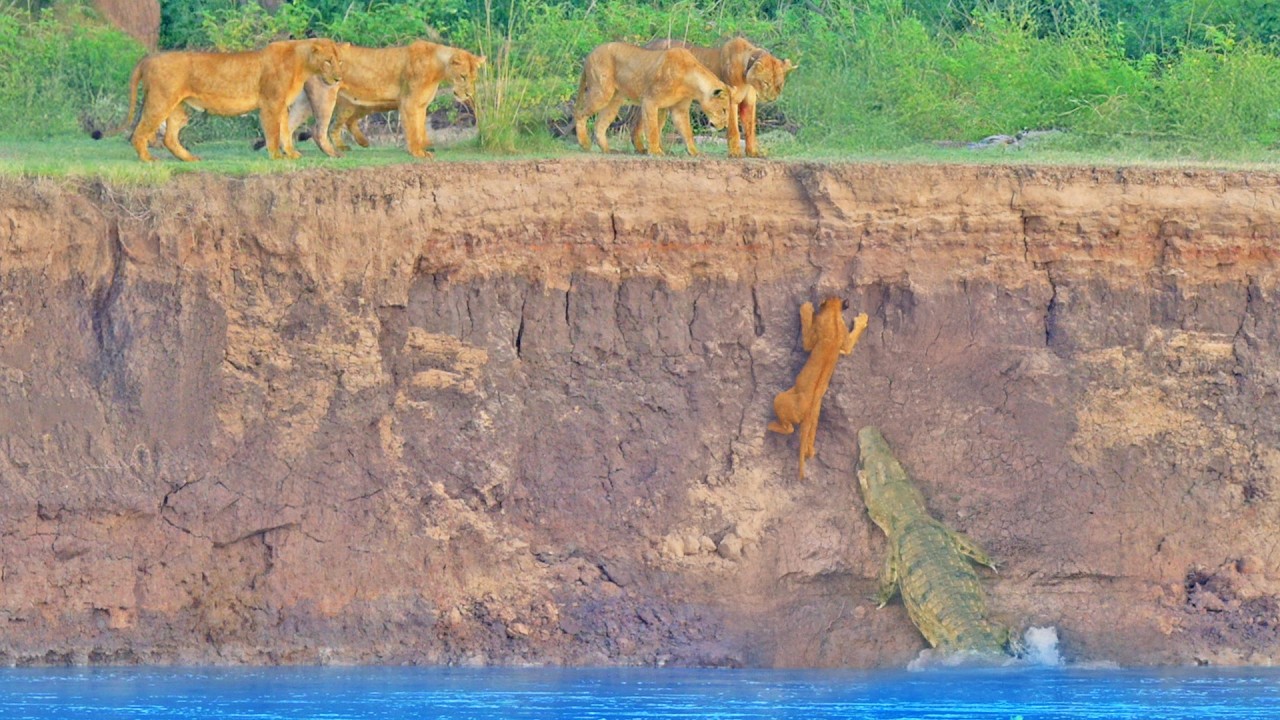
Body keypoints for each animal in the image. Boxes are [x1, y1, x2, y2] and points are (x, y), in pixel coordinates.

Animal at [119, 38, 344, 162]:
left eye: (339, 62)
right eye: (328, 61)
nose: (338, 78)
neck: (302, 64)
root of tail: (149, 58)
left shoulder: (281, 105)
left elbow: (285, 131)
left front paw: (291, 154)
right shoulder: (271, 103)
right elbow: (273, 132)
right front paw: (276, 156)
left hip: (177, 108)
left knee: (169, 138)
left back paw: (189, 158)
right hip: (161, 101)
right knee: (139, 132)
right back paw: (148, 159)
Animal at [275, 41, 485, 159]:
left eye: (474, 78)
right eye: (463, 76)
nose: (468, 94)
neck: (438, 68)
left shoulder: (420, 105)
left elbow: (420, 128)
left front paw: (425, 146)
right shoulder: (409, 103)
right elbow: (412, 129)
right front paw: (417, 153)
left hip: (305, 102)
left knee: (288, 124)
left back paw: (289, 152)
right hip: (326, 94)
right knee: (317, 130)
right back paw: (334, 154)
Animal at [573, 42, 731, 156]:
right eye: (724, 110)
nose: (725, 126)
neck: (691, 82)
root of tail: (590, 54)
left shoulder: (677, 109)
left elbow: (686, 131)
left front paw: (694, 152)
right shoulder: (650, 101)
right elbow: (653, 129)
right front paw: (655, 151)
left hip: (614, 101)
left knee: (600, 124)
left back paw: (607, 150)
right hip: (601, 92)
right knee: (580, 115)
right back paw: (585, 144)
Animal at [643, 37, 795, 158]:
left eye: (779, 84)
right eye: (765, 82)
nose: (772, 99)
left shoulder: (749, 103)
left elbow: (750, 129)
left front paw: (753, 152)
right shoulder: (731, 99)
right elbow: (734, 128)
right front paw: (735, 152)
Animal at [768, 298, 869, 479]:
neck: (834, 314)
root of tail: (808, 413)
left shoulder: (811, 339)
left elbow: (807, 338)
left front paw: (806, 308)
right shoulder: (845, 342)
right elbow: (850, 343)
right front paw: (863, 320)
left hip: (780, 399)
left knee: (789, 428)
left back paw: (771, 426)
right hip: (814, 420)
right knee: (809, 449)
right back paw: (809, 451)